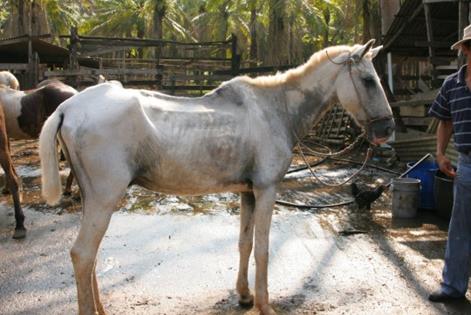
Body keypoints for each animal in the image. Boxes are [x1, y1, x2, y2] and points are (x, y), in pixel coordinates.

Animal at [39, 40, 394, 315]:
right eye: (368, 80)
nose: (387, 129)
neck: (275, 109)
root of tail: (67, 108)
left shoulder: (248, 192)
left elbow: (245, 244)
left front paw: (245, 296)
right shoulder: (267, 190)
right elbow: (263, 248)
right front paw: (264, 304)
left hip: (92, 199)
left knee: (90, 257)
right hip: (104, 198)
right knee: (83, 255)